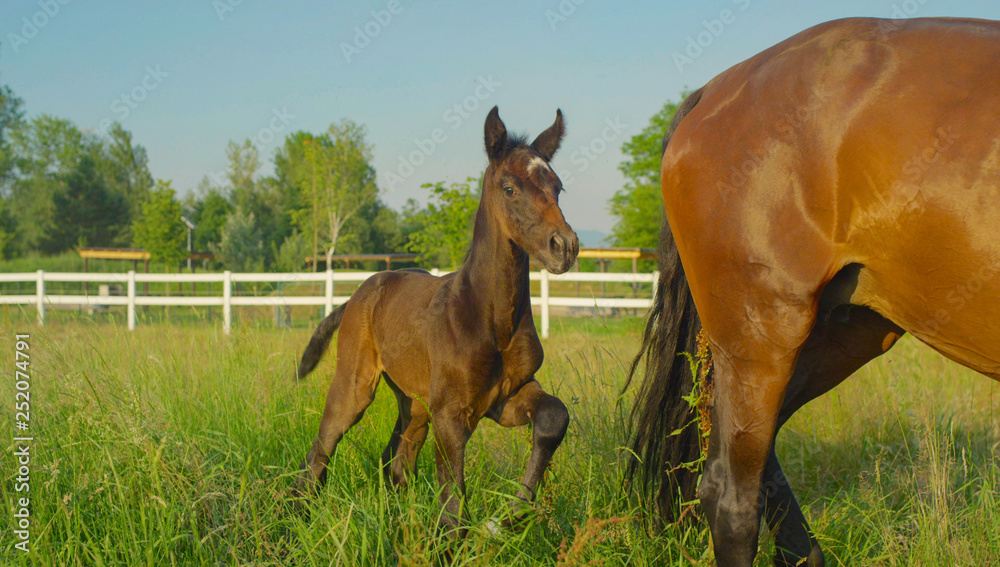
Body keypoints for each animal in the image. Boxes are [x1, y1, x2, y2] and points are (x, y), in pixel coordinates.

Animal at [292, 105, 580, 536]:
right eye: (509, 188)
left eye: (557, 187)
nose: (564, 246)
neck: (491, 319)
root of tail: (361, 292)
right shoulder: (451, 412)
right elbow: (452, 503)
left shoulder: (508, 397)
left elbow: (553, 418)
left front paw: (510, 516)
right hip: (357, 385)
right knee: (323, 447)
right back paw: (300, 516)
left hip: (413, 403)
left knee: (396, 460)